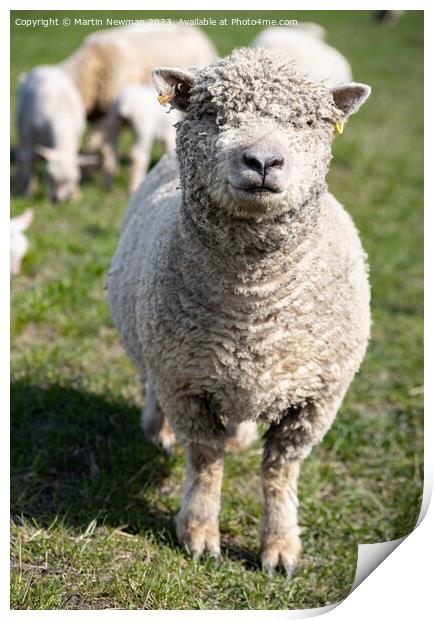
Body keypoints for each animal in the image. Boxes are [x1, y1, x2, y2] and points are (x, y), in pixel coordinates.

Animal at [107, 48, 372, 576]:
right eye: (212, 114)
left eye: (308, 121)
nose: (264, 161)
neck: (253, 304)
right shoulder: (184, 383)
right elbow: (205, 460)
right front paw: (199, 533)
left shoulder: (316, 400)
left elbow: (279, 471)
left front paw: (281, 547)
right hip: (154, 347)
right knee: (150, 386)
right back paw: (156, 430)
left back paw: (240, 435)